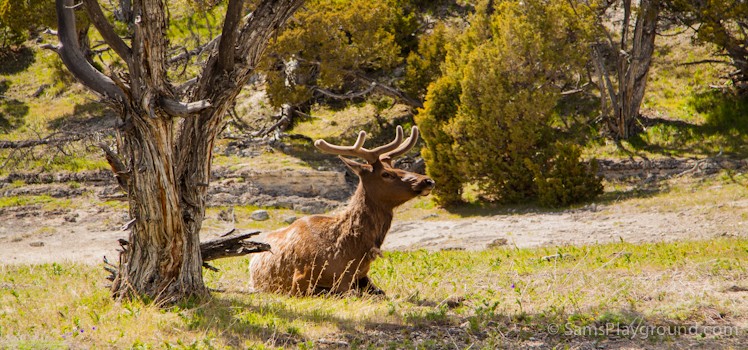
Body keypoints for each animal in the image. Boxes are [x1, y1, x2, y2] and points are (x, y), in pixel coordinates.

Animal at [250, 126, 436, 296]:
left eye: (399, 167)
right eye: (386, 174)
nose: (428, 180)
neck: (349, 252)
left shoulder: (362, 276)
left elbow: (380, 293)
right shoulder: (301, 279)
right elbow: (344, 292)